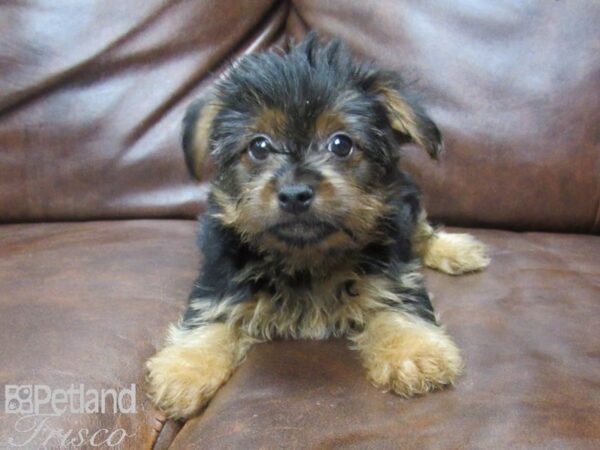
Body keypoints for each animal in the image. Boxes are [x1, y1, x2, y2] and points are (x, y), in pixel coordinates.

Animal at [148, 33, 490, 420]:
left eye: (341, 144)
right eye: (259, 146)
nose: (295, 194)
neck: (307, 257)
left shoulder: (393, 271)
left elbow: (398, 304)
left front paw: (415, 352)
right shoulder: (221, 275)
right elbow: (210, 316)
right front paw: (185, 370)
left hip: (407, 196)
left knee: (421, 231)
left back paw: (458, 251)